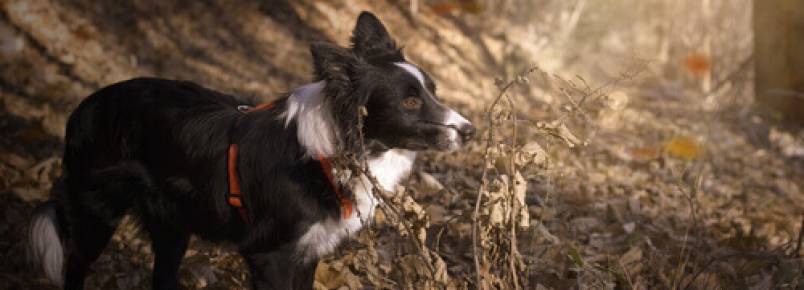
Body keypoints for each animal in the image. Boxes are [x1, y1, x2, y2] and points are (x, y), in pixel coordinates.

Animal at [28, 10, 474, 288]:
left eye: (433, 91)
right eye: (410, 102)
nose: (470, 132)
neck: (333, 151)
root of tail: (84, 106)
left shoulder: (307, 253)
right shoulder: (269, 255)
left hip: (172, 226)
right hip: (96, 214)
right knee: (75, 267)